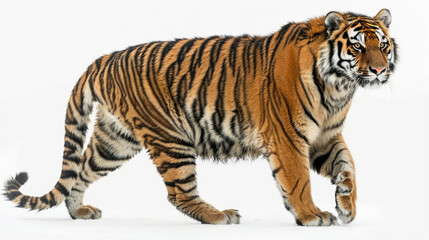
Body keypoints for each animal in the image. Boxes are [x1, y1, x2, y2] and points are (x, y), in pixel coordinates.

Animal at [3, 8, 396, 226]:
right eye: (357, 46)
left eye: (383, 44)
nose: (379, 70)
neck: (338, 87)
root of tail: (103, 60)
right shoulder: (288, 138)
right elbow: (298, 181)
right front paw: (311, 215)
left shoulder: (325, 137)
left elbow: (348, 165)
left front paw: (346, 203)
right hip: (171, 138)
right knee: (179, 193)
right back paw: (220, 216)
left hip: (115, 141)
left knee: (81, 168)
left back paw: (78, 212)